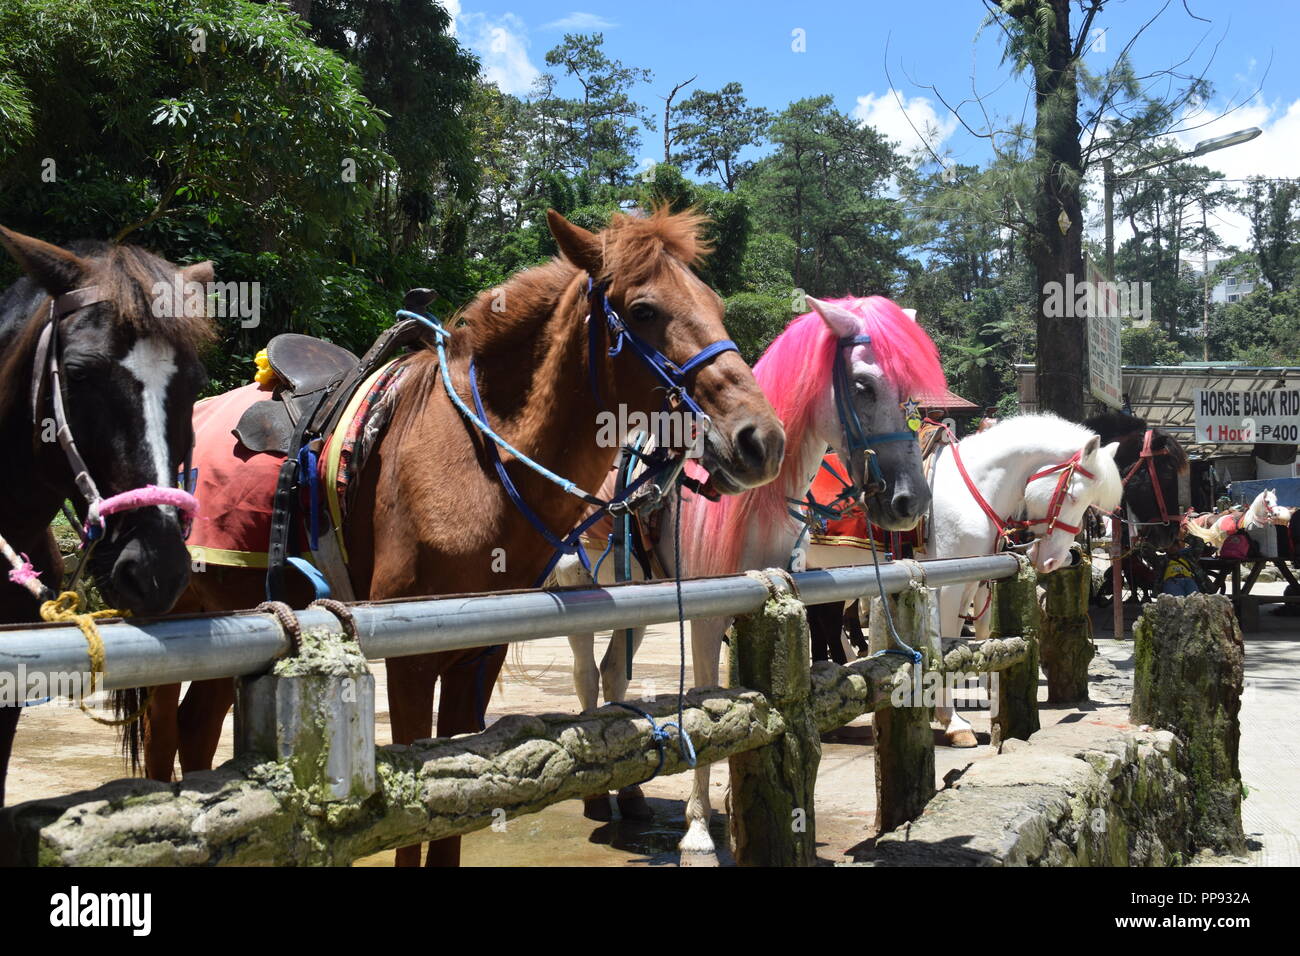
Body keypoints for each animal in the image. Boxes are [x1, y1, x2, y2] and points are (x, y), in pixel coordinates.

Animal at [147, 208, 785, 868]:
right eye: (643, 310)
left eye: (713, 303)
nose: (761, 439)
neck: (472, 460)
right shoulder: (408, 659)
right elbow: (414, 806)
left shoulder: (478, 650)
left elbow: (457, 798)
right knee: (166, 729)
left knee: (195, 729)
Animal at [930, 416, 1123, 743]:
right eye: (1074, 496)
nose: (1054, 560)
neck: (969, 491)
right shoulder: (947, 582)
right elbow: (947, 644)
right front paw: (953, 722)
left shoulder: (972, 580)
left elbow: (966, 638)